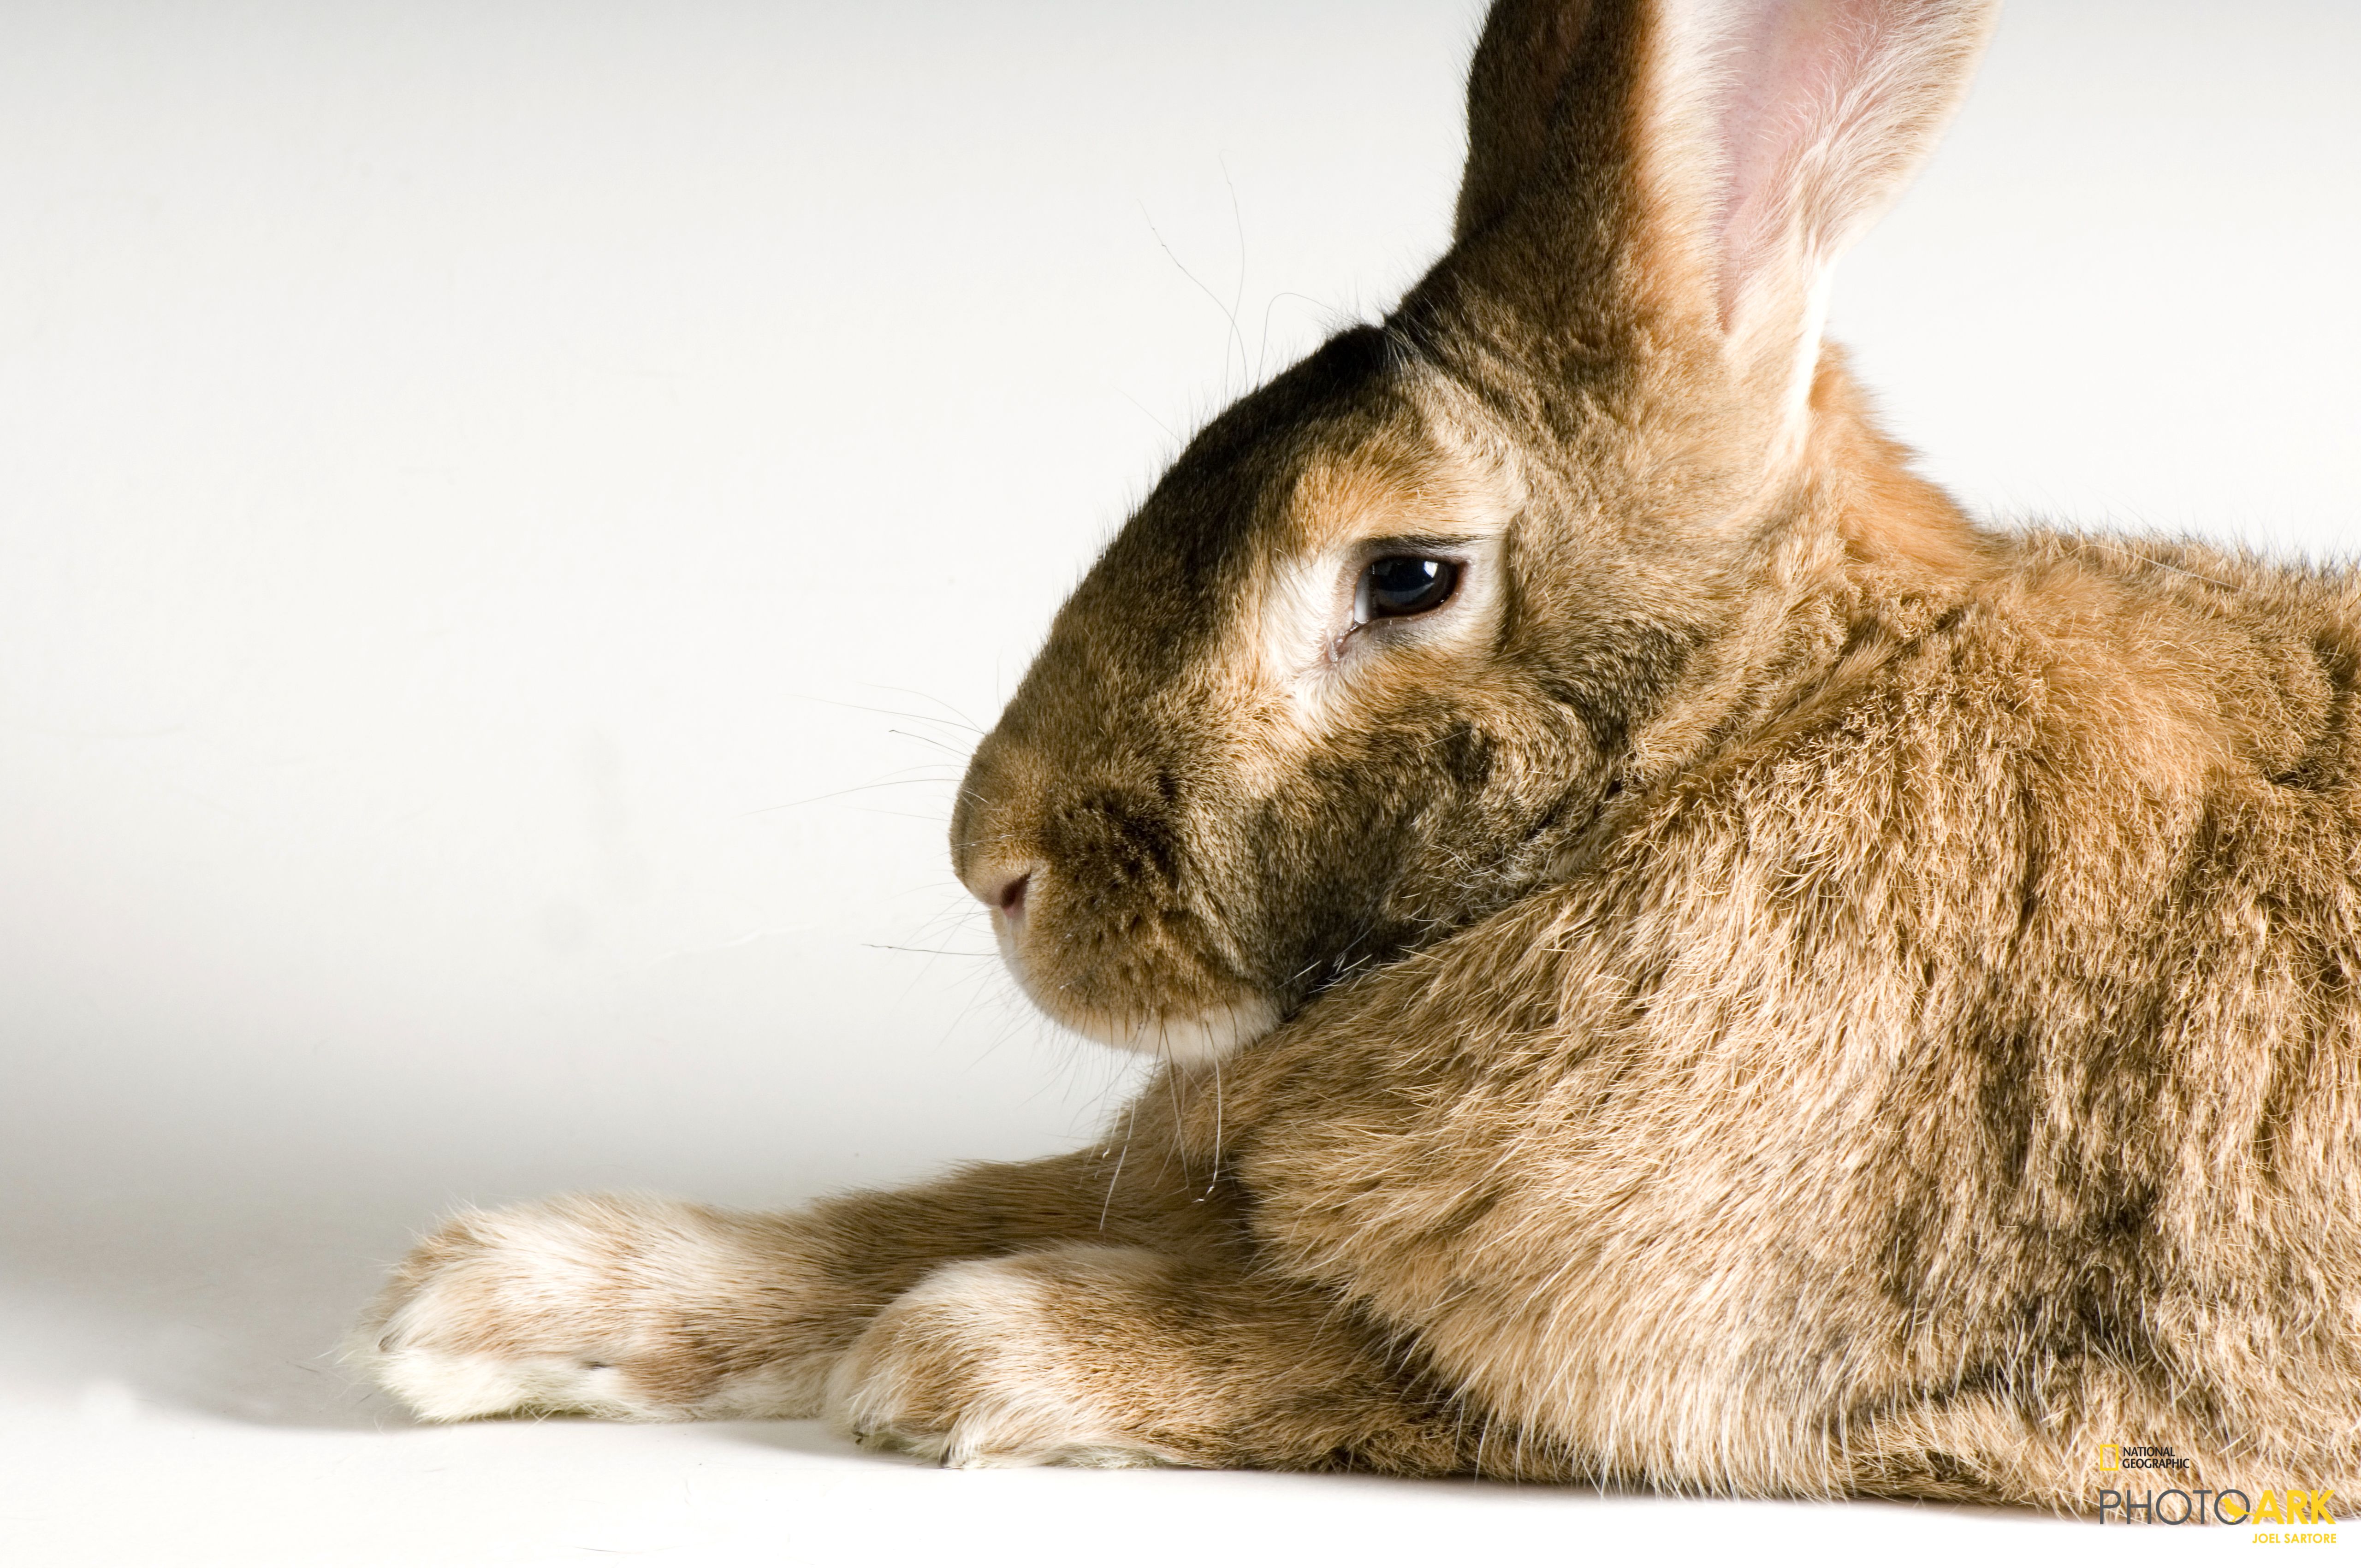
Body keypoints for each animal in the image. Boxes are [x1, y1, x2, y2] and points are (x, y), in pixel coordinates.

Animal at [353, 0, 2361, 1512]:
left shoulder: (1692, 1367)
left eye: (1404, 576)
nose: (993, 863)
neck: (1718, 745)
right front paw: (487, 1301)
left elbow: (1313, 1353)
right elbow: (918, 1209)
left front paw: (958, 1355)